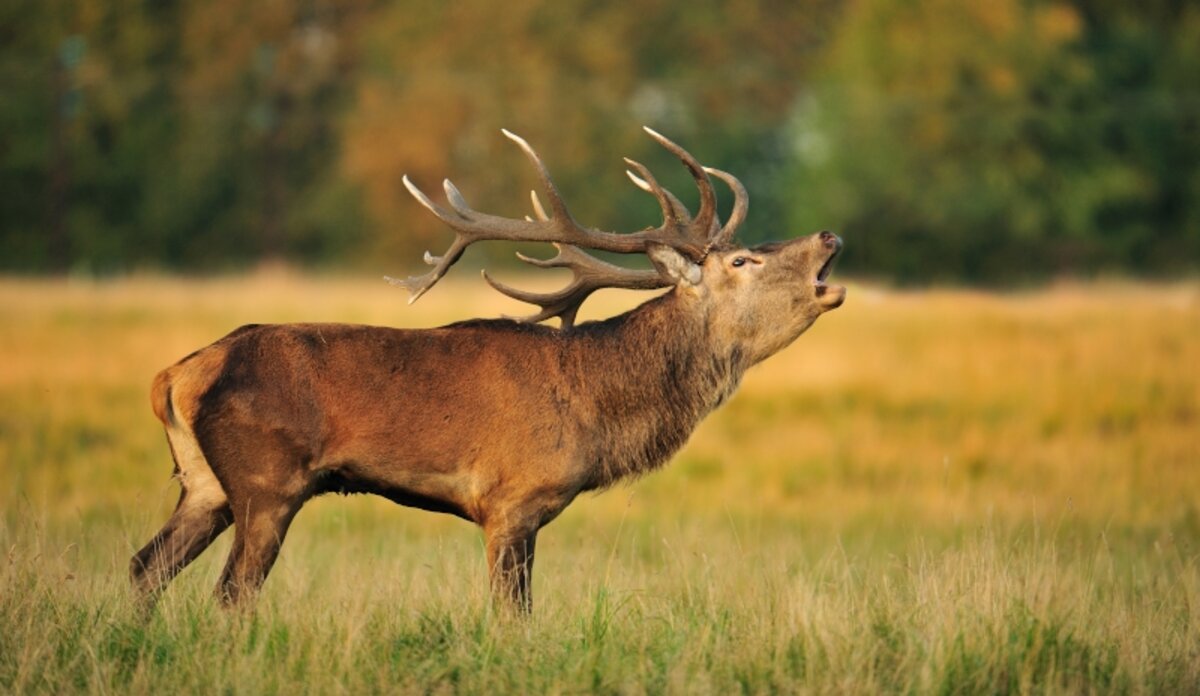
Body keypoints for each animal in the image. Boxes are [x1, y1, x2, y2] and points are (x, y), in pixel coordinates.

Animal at [129, 127, 845, 613]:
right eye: (743, 261)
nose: (829, 237)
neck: (597, 407)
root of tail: (175, 375)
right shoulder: (510, 502)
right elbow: (512, 617)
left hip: (204, 485)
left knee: (144, 567)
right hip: (266, 482)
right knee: (230, 593)